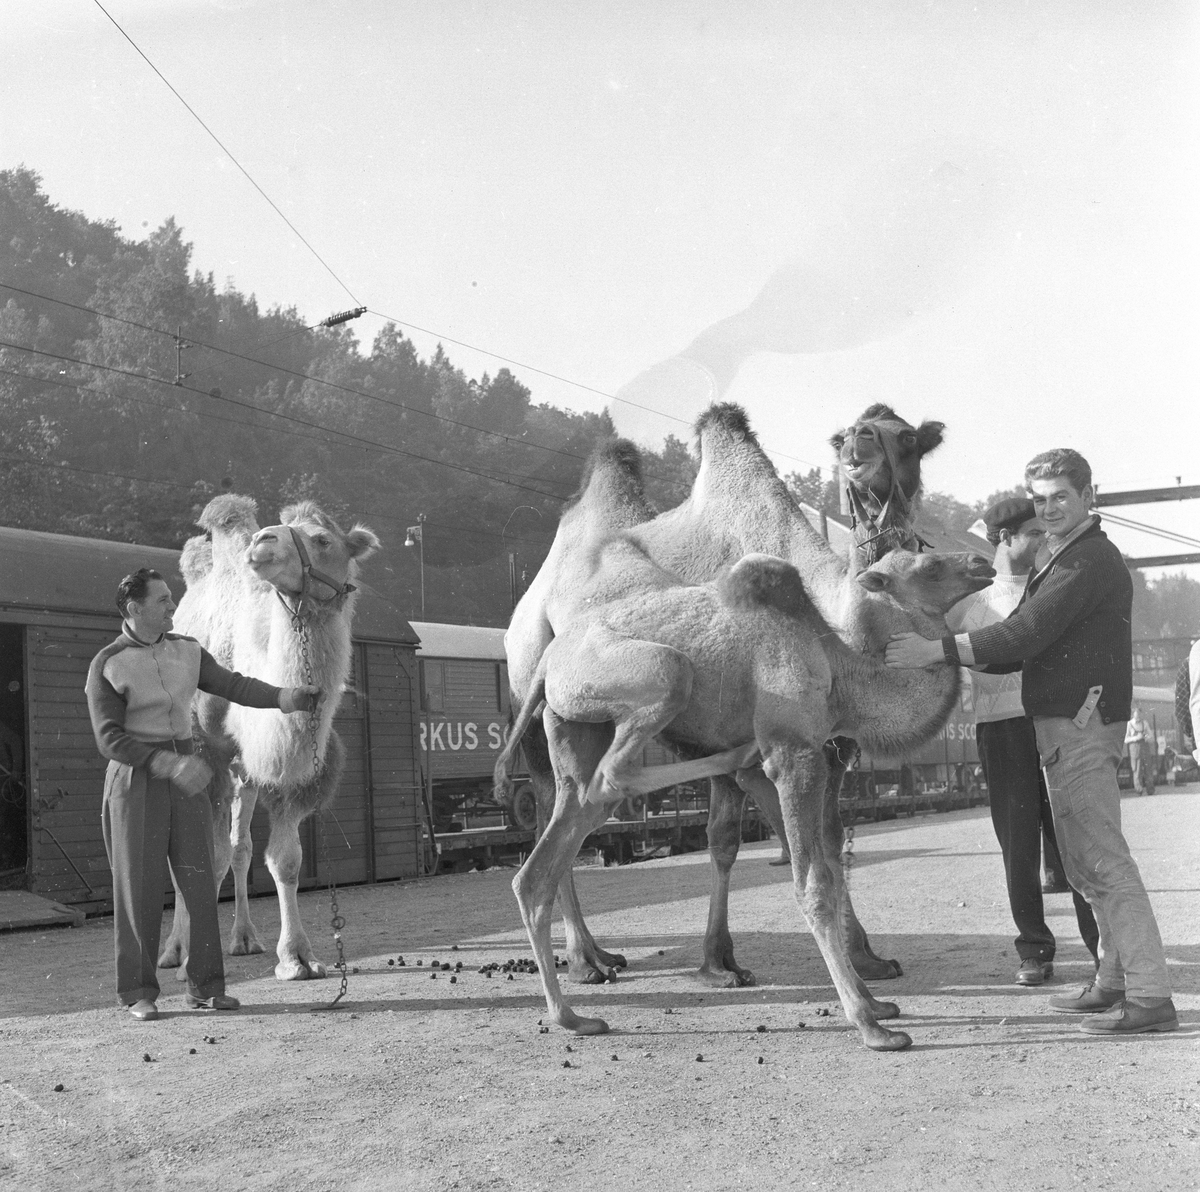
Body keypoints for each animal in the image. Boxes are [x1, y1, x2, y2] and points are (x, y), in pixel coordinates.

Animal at [154, 489, 376, 974]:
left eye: (323, 539)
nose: (263, 542)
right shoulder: (211, 756)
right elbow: (208, 856)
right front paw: (193, 956)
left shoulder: (290, 765)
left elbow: (284, 860)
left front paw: (297, 957)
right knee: (195, 854)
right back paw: (173, 949)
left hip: (247, 773)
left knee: (242, 847)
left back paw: (244, 937)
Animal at [494, 540, 984, 1051]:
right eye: (930, 565)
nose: (983, 563)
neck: (839, 674)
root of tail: (547, 660)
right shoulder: (794, 753)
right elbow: (814, 884)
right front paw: (871, 1024)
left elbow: (826, 870)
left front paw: (876, 1002)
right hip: (650, 673)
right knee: (617, 769)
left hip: (574, 725)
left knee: (544, 861)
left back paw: (572, 1017)